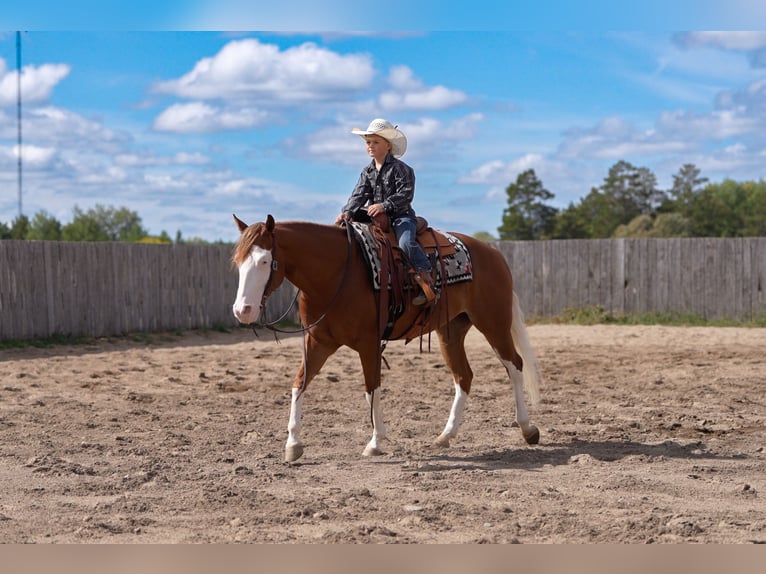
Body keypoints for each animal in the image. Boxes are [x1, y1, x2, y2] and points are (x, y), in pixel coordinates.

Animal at [231, 214, 542, 462]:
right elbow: (299, 383)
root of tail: (492, 253)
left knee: (515, 365)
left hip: (494, 323)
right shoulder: (318, 342)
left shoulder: (368, 344)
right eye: (238, 262)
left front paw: (375, 442)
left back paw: (527, 429)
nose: (242, 310)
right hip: (451, 332)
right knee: (464, 376)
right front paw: (293, 443)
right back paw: (446, 435)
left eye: (264, 260)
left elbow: (372, 389)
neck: (335, 274)